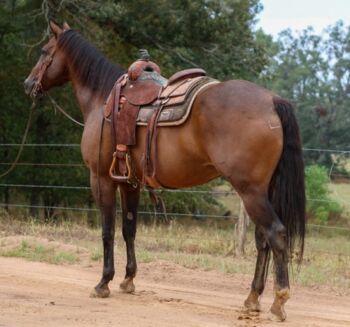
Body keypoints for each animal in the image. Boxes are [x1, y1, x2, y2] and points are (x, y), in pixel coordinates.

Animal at [23, 21, 304, 322]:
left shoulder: (101, 179)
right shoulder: (130, 182)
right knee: (262, 239)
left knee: (276, 233)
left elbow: (107, 231)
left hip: (250, 192)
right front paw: (128, 280)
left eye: (44, 51)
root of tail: (272, 100)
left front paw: (104, 282)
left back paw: (279, 301)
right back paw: (252, 298)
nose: (28, 84)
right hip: (262, 191)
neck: (103, 99)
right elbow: (129, 229)